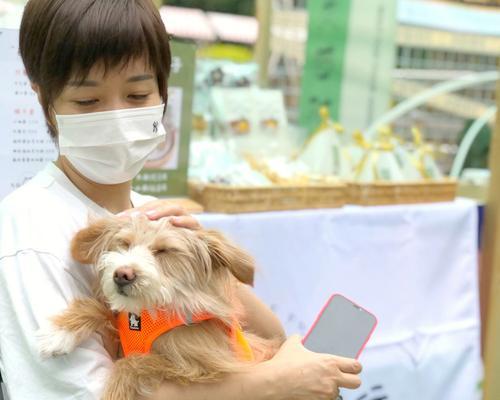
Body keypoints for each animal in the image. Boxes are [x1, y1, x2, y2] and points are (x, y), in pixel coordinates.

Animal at [36, 216, 278, 400]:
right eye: (125, 243)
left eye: (164, 250)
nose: (122, 274)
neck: (148, 312)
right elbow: (100, 308)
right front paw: (60, 332)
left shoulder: (206, 367)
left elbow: (136, 361)